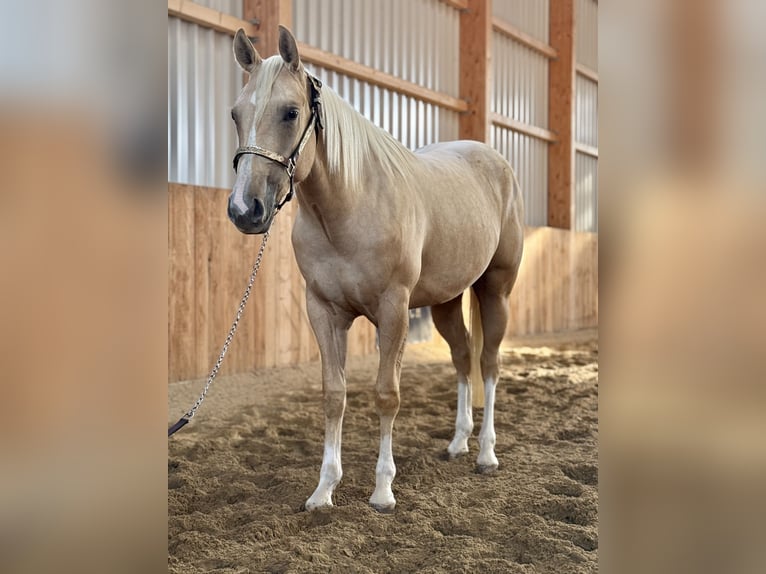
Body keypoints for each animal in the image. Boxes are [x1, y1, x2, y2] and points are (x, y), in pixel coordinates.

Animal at [227, 26, 524, 512]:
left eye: (291, 112)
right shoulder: (323, 311)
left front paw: (383, 490)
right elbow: (334, 395)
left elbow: (387, 394)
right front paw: (323, 490)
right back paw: (458, 444)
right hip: (445, 302)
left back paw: (485, 453)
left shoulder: (393, 310)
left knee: (489, 363)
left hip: (494, 291)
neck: (350, 207)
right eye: (236, 114)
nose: (244, 210)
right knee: (462, 358)